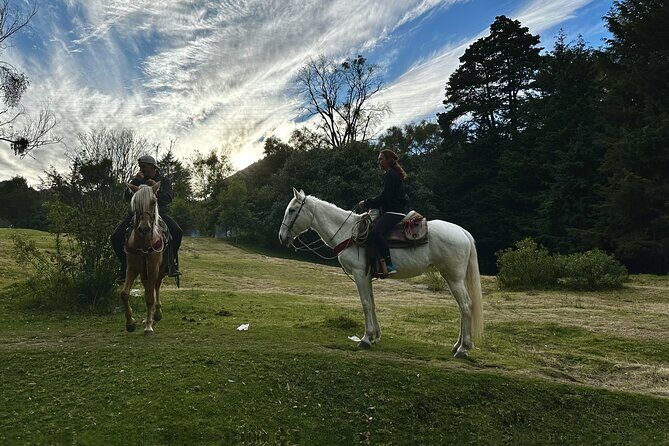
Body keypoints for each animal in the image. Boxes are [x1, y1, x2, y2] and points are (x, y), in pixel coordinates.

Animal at [120, 182, 167, 335]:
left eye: (154, 202)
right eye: (135, 203)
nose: (144, 228)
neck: (143, 244)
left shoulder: (153, 269)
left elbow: (149, 298)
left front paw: (148, 327)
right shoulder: (132, 269)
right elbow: (124, 294)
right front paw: (130, 323)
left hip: (160, 271)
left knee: (156, 287)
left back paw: (156, 314)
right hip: (143, 272)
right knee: (148, 288)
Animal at [278, 188, 483, 358]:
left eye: (292, 210)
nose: (281, 237)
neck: (348, 233)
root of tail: (462, 231)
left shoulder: (359, 274)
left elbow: (365, 304)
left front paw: (366, 339)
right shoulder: (367, 275)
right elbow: (373, 304)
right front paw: (375, 336)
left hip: (454, 278)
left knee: (466, 305)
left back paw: (463, 349)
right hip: (452, 277)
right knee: (462, 307)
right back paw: (457, 346)